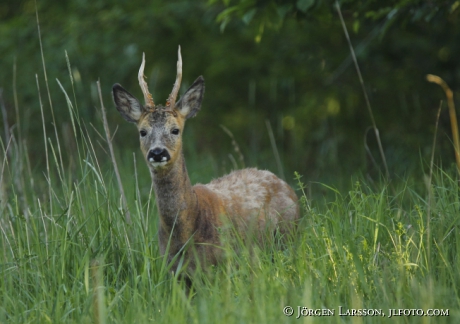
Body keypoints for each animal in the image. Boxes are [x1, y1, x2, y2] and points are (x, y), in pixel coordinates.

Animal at [111, 45, 298, 274]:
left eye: (175, 130)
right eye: (142, 132)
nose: (157, 153)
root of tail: (284, 183)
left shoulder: (220, 264)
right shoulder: (171, 268)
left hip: (287, 237)